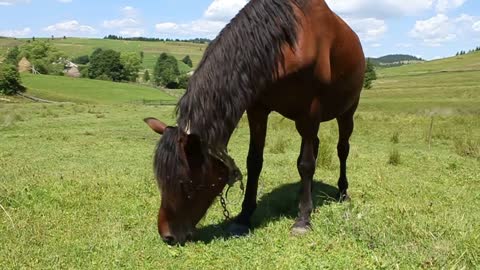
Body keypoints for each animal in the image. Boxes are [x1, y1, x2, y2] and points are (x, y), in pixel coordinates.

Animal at [144, 0, 366, 245]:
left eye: (183, 183)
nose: (167, 235)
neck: (286, 43)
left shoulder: (310, 112)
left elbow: (306, 165)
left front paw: (303, 219)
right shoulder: (257, 110)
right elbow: (255, 161)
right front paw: (244, 216)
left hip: (346, 112)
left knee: (342, 149)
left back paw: (342, 192)